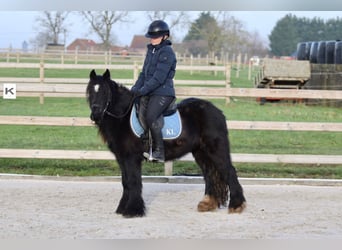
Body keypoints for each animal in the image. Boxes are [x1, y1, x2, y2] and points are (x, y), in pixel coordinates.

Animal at [86, 69, 246, 218]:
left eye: (105, 91)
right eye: (90, 91)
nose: (95, 114)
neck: (122, 116)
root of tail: (218, 112)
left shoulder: (131, 157)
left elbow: (133, 181)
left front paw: (133, 210)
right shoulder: (121, 157)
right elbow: (125, 182)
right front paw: (122, 208)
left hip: (215, 149)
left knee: (229, 171)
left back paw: (236, 205)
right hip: (201, 152)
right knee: (210, 174)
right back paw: (207, 203)